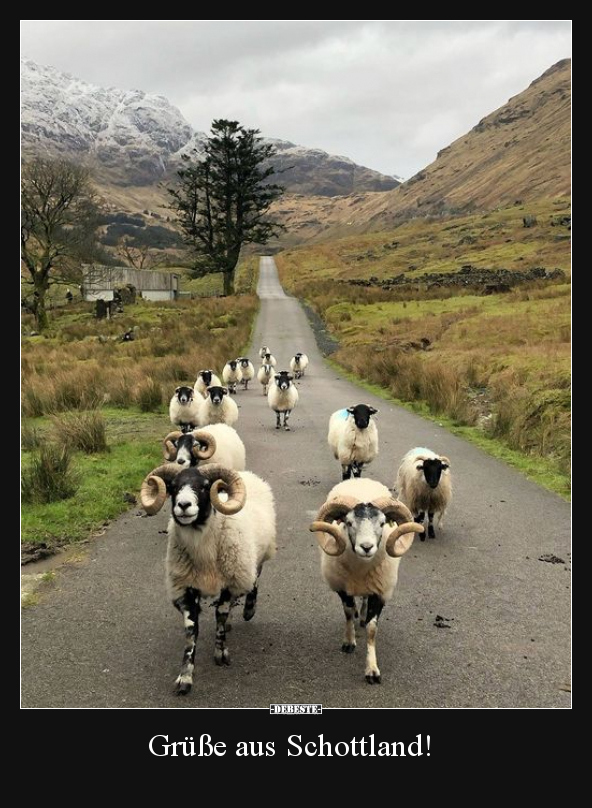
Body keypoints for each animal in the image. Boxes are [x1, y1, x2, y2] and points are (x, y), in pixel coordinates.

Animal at [140, 460, 276, 696]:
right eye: (173, 487)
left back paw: (249, 609)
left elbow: (220, 616)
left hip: (253, 559)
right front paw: (185, 677)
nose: (184, 505)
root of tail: (247, 474)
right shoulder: (186, 587)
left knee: (254, 582)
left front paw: (221, 654)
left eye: (204, 486)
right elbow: (191, 631)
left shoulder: (230, 582)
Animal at [308, 476, 424, 684]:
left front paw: (372, 670)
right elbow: (347, 612)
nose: (367, 547)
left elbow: (371, 629)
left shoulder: (380, 592)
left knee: (363, 600)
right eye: (348, 522)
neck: (361, 568)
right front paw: (349, 642)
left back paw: (361, 615)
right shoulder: (342, 588)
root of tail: (360, 478)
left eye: (383, 523)